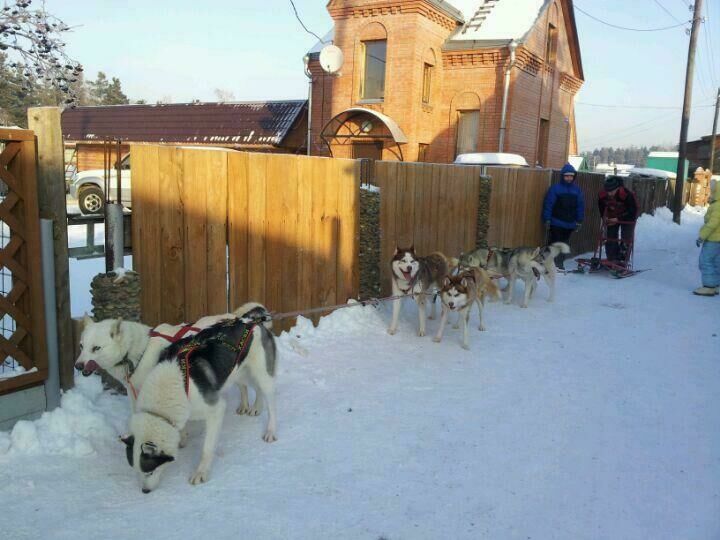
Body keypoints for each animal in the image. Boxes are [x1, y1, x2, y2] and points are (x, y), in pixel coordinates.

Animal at [122, 312, 278, 494]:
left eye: (150, 471)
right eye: (136, 471)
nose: (145, 491)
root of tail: (252, 321)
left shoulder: (215, 410)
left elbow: (207, 448)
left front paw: (201, 472)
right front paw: (182, 438)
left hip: (262, 374)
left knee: (270, 402)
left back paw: (270, 430)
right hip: (237, 372)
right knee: (252, 387)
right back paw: (253, 407)